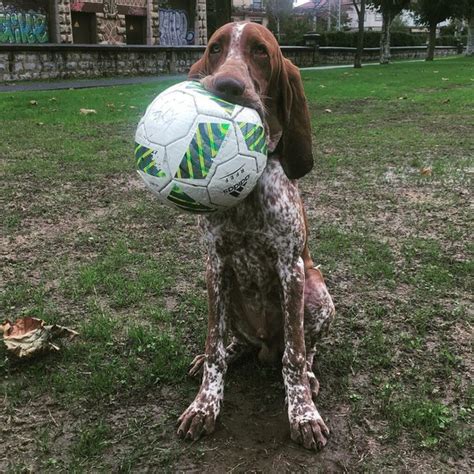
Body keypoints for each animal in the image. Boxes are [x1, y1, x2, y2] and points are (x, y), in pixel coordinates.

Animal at [178, 23, 336, 452]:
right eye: (215, 49)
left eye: (261, 52)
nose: (228, 86)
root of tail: (266, 347)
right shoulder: (214, 265)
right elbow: (213, 347)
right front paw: (205, 404)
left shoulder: (290, 268)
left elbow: (295, 356)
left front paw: (303, 414)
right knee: (233, 343)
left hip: (317, 291)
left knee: (304, 349)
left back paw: (309, 378)